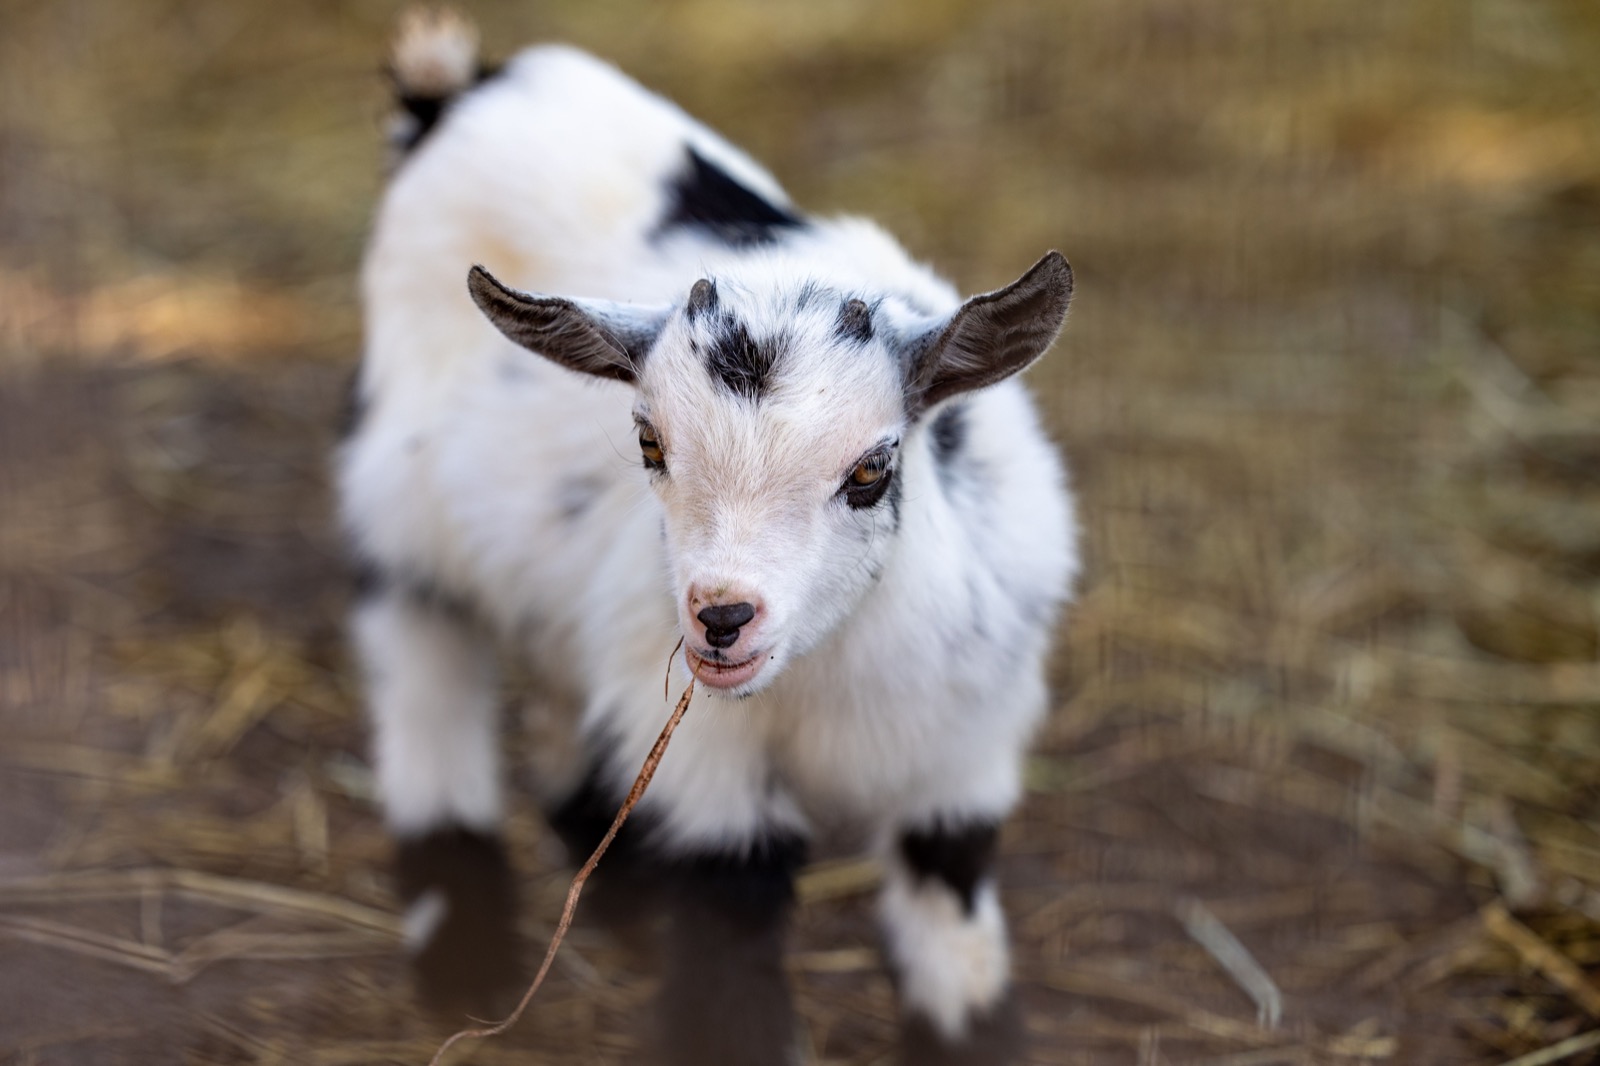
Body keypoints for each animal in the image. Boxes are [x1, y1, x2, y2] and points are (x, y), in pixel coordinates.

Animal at [339, 9, 1078, 1062]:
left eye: (872, 469)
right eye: (649, 442)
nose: (722, 618)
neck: (827, 672)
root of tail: (457, 92)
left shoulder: (964, 751)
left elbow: (956, 926)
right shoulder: (713, 774)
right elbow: (731, 936)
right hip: (401, 509)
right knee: (424, 677)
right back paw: (466, 962)